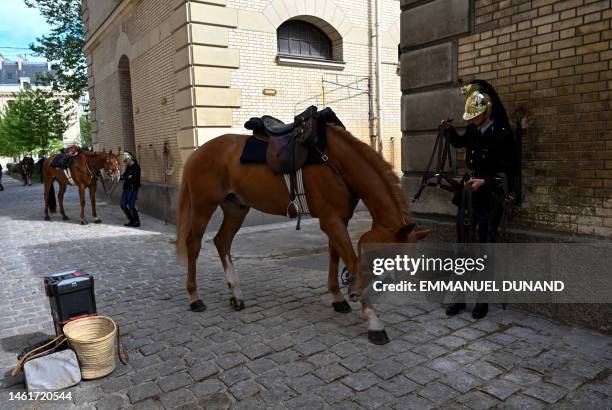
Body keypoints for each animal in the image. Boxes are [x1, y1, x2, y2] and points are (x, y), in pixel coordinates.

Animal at [177, 124, 432, 342]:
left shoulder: (339, 219)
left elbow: (334, 255)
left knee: (222, 241)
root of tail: (197, 153)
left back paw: (236, 294)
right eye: (381, 260)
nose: (357, 295)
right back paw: (195, 297)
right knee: (194, 245)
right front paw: (373, 321)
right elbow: (351, 261)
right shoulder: (331, 220)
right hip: (203, 206)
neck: (336, 160)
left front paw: (338, 298)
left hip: (236, 207)